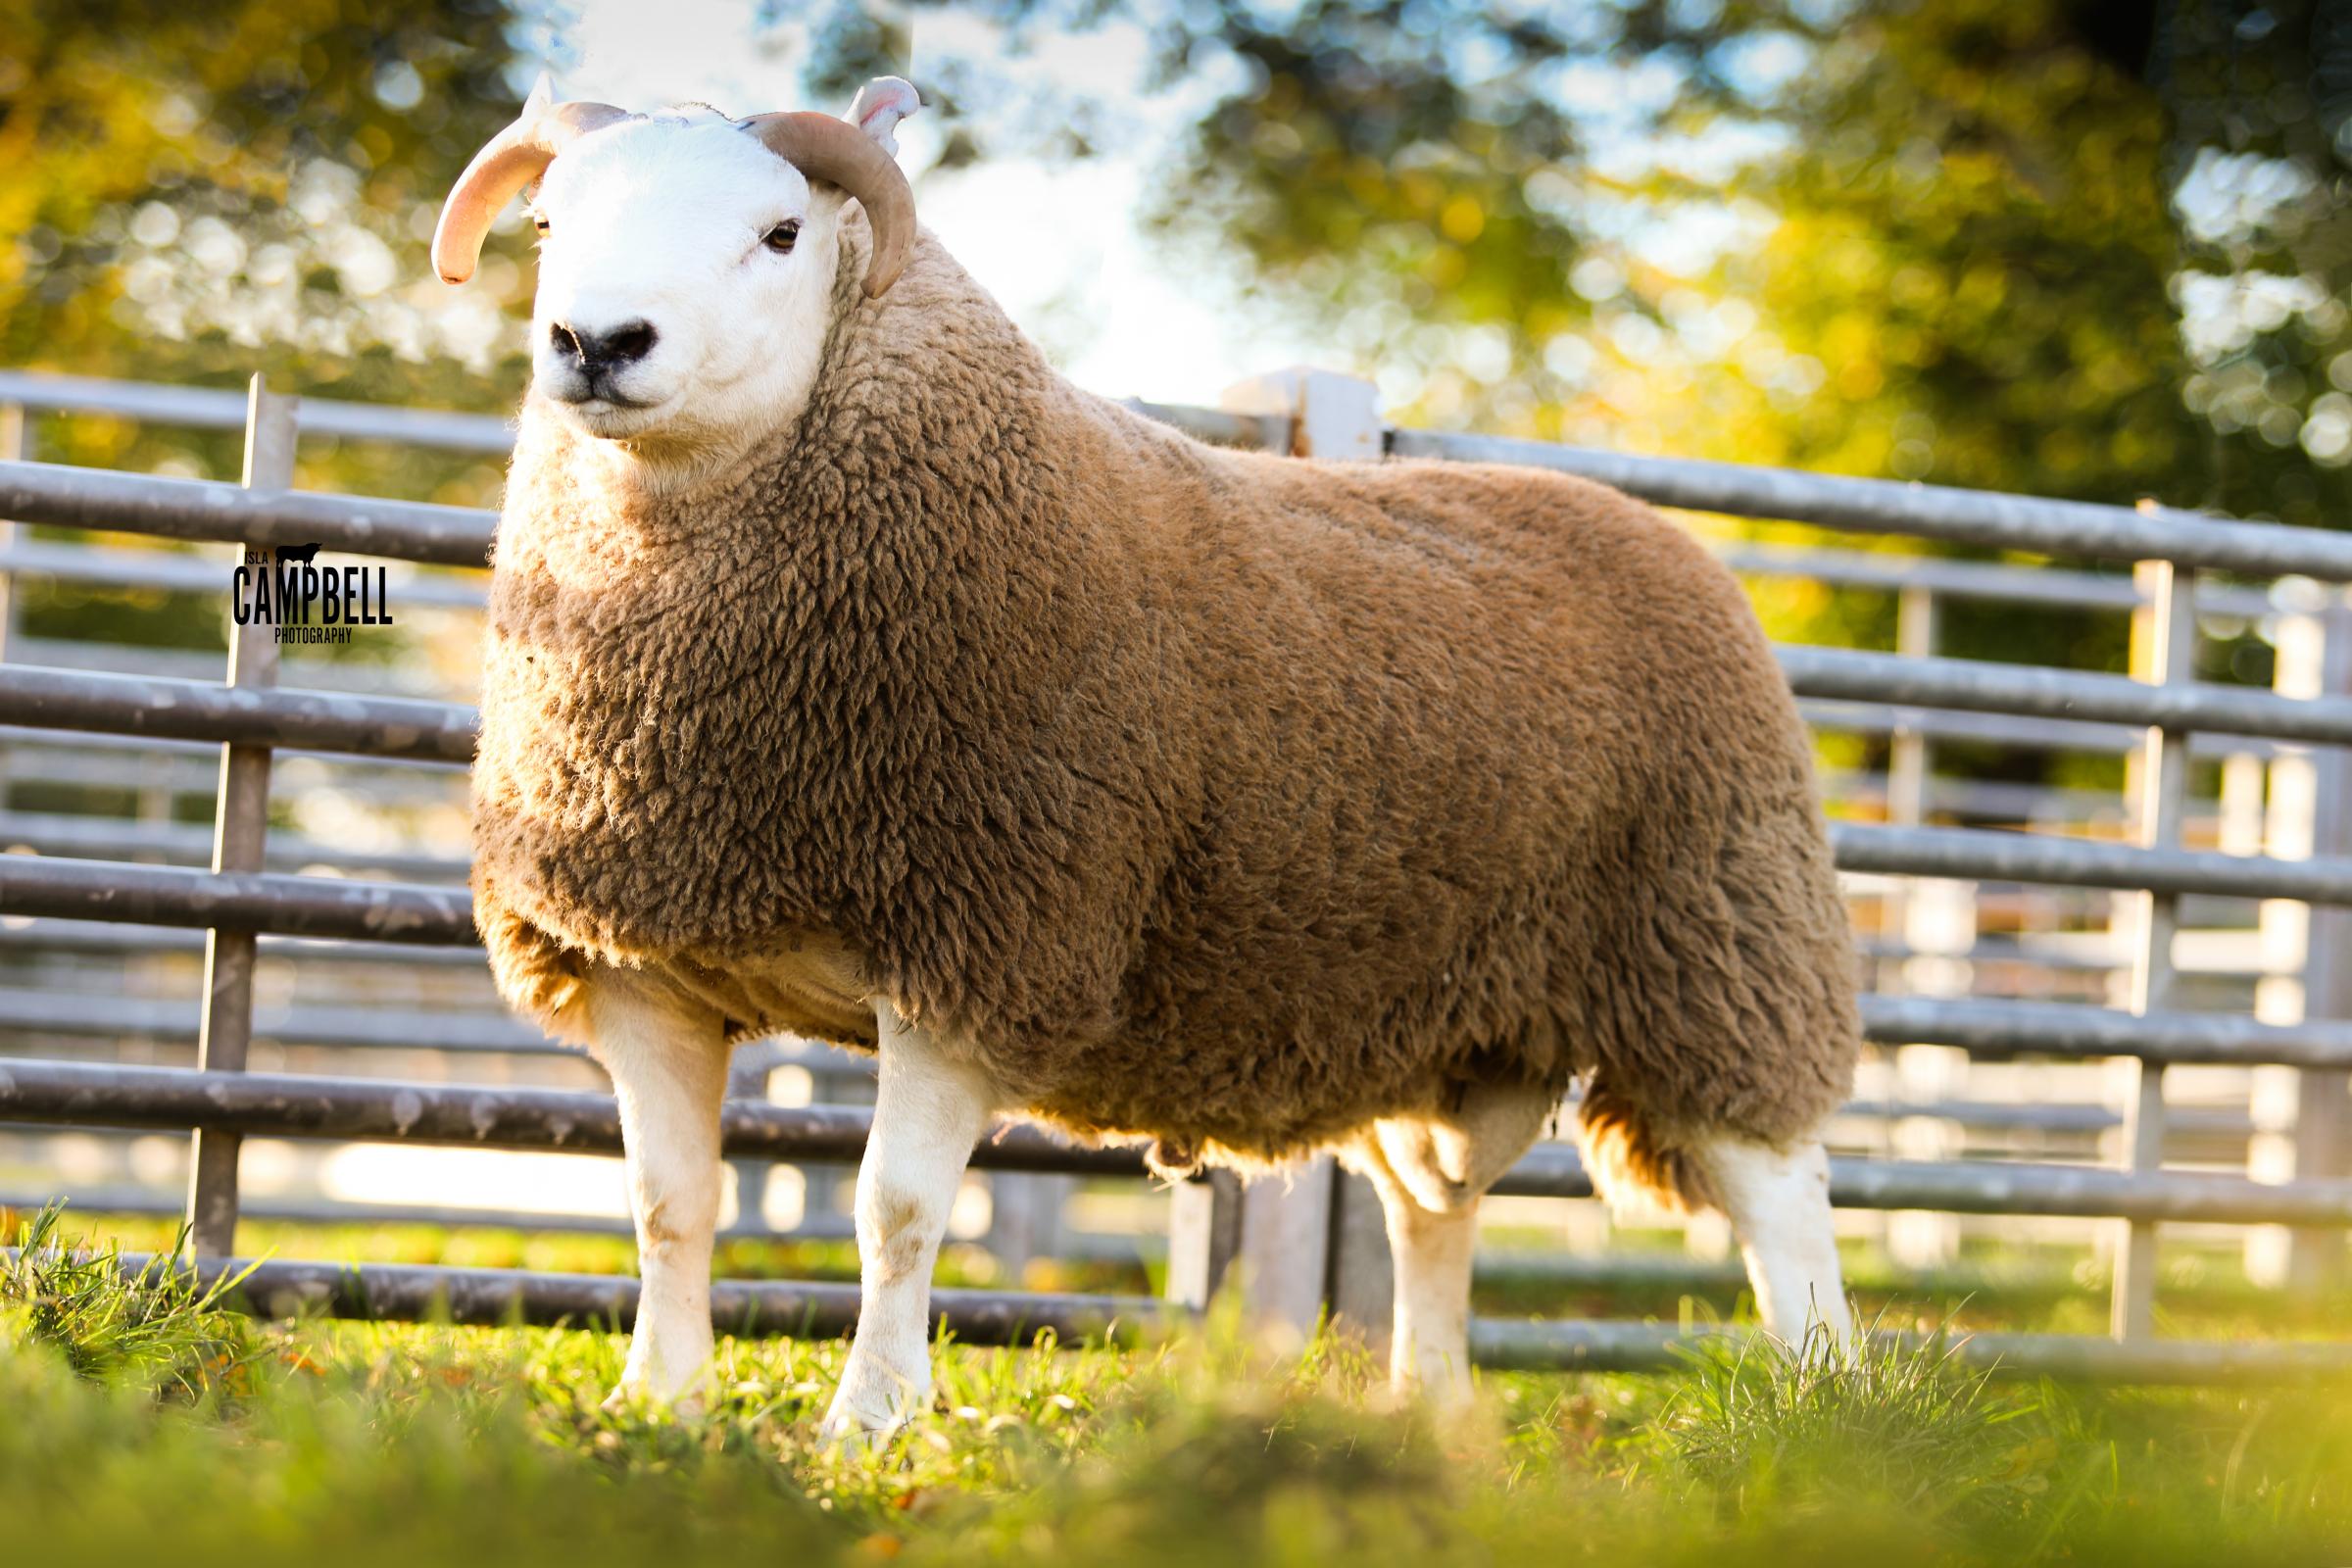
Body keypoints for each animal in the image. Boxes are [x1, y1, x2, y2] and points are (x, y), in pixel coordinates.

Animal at [437, 75, 1853, 1439]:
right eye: (550, 226)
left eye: (781, 233)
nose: (599, 344)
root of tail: (1655, 527)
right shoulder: (641, 960)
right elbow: (667, 1206)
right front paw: (658, 1405)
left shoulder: (983, 943)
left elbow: (895, 1212)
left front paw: (871, 1422)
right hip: (1447, 1013)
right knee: (1432, 1211)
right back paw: (1437, 1413)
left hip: (1719, 940)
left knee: (1782, 1191)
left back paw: (1827, 1408)